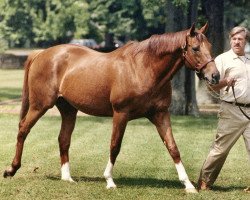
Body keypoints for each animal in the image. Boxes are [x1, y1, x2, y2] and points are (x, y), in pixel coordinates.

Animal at [3, 23, 219, 192]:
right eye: (195, 48)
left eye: (209, 45)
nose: (215, 76)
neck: (143, 68)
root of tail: (41, 54)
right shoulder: (120, 114)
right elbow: (115, 145)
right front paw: (109, 180)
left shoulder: (160, 114)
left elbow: (173, 147)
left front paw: (188, 185)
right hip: (40, 105)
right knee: (23, 129)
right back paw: (11, 169)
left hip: (68, 110)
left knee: (63, 140)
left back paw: (67, 177)